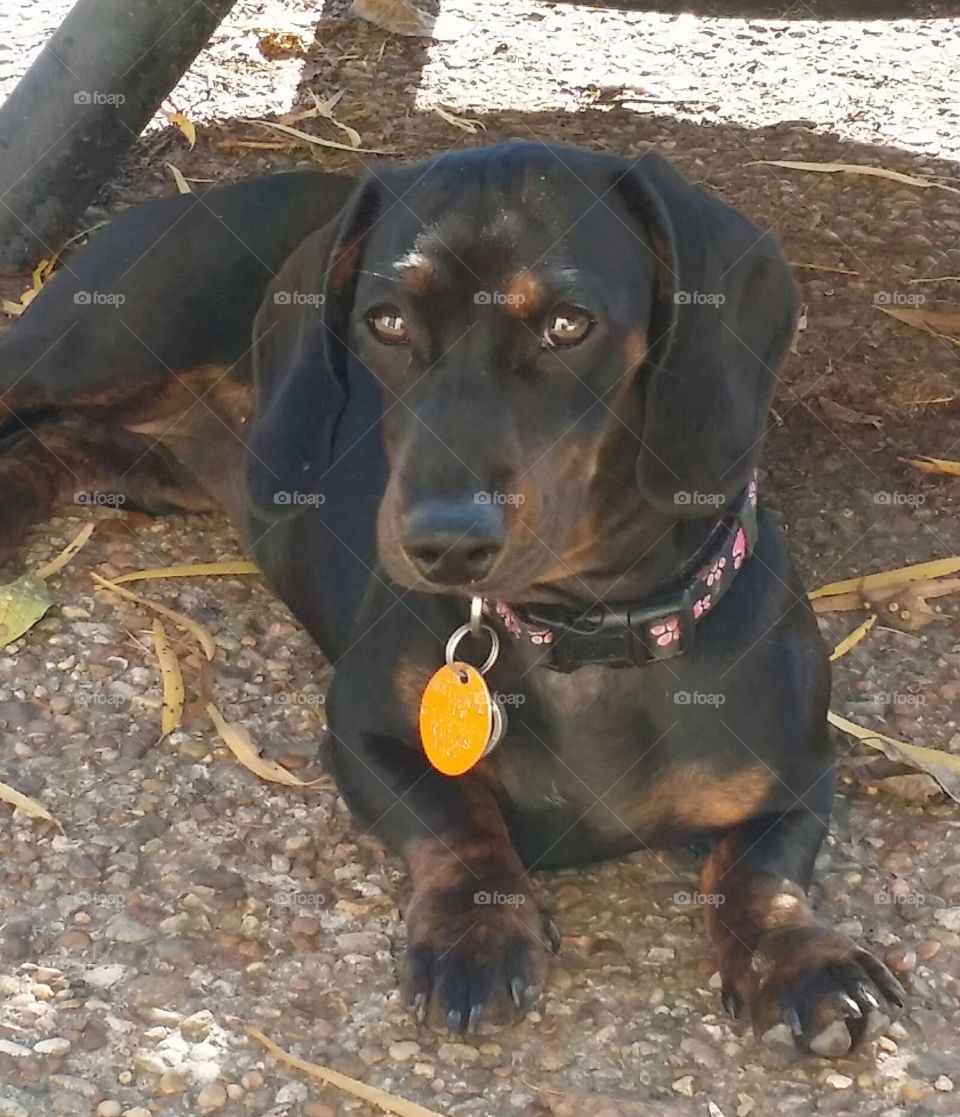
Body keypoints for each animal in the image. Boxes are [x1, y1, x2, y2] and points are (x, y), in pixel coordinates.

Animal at [0, 141, 903, 1054]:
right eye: (387, 321)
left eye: (568, 323)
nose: (444, 542)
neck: (582, 629)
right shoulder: (362, 733)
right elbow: (455, 816)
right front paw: (477, 929)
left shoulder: (800, 777)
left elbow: (760, 871)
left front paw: (797, 955)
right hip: (86, 352)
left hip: (156, 469)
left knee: (55, 446)